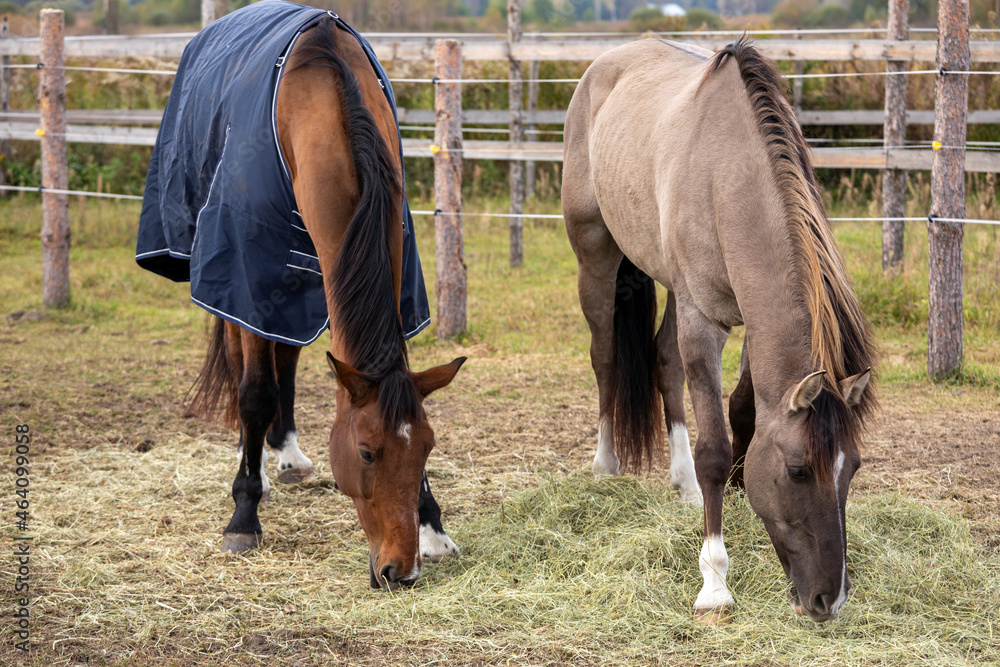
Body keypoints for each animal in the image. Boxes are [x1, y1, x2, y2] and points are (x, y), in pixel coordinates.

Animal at [137, 3, 464, 590]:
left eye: (427, 450)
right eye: (367, 453)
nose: (400, 570)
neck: (325, 102)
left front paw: (432, 526)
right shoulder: (247, 271)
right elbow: (254, 393)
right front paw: (243, 515)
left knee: (286, 352)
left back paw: (285, 453)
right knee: (249, 367)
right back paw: (257, 471)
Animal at [562, 38, 876, 623]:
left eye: (854, 469)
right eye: (798, 471)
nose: (829, 599)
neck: (729, 177)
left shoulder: (746, 320)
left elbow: (744, 413)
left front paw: (735, 491)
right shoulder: (703, 320)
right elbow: (714, 447)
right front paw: (714, 582)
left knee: (663, 364)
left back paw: (683, 484)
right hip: (596, 258)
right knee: (605, 358)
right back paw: (605, 465)